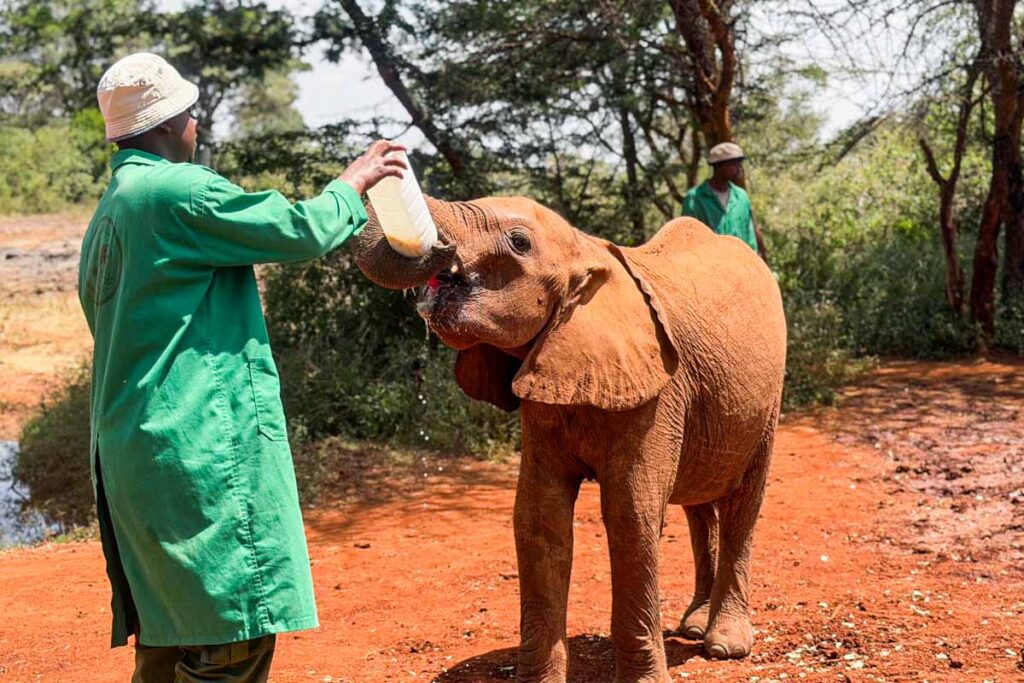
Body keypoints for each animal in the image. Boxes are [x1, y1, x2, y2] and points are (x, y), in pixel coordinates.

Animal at [353, 195, 787, 683]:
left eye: (519, 242)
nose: (434, 247)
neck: (585, 250)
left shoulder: (658, 393)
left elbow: (630, 514)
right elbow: (539, 519)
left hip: (767, 399)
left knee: (742, 503)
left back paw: (724, 644)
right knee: (699, 503)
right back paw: (693, 626)